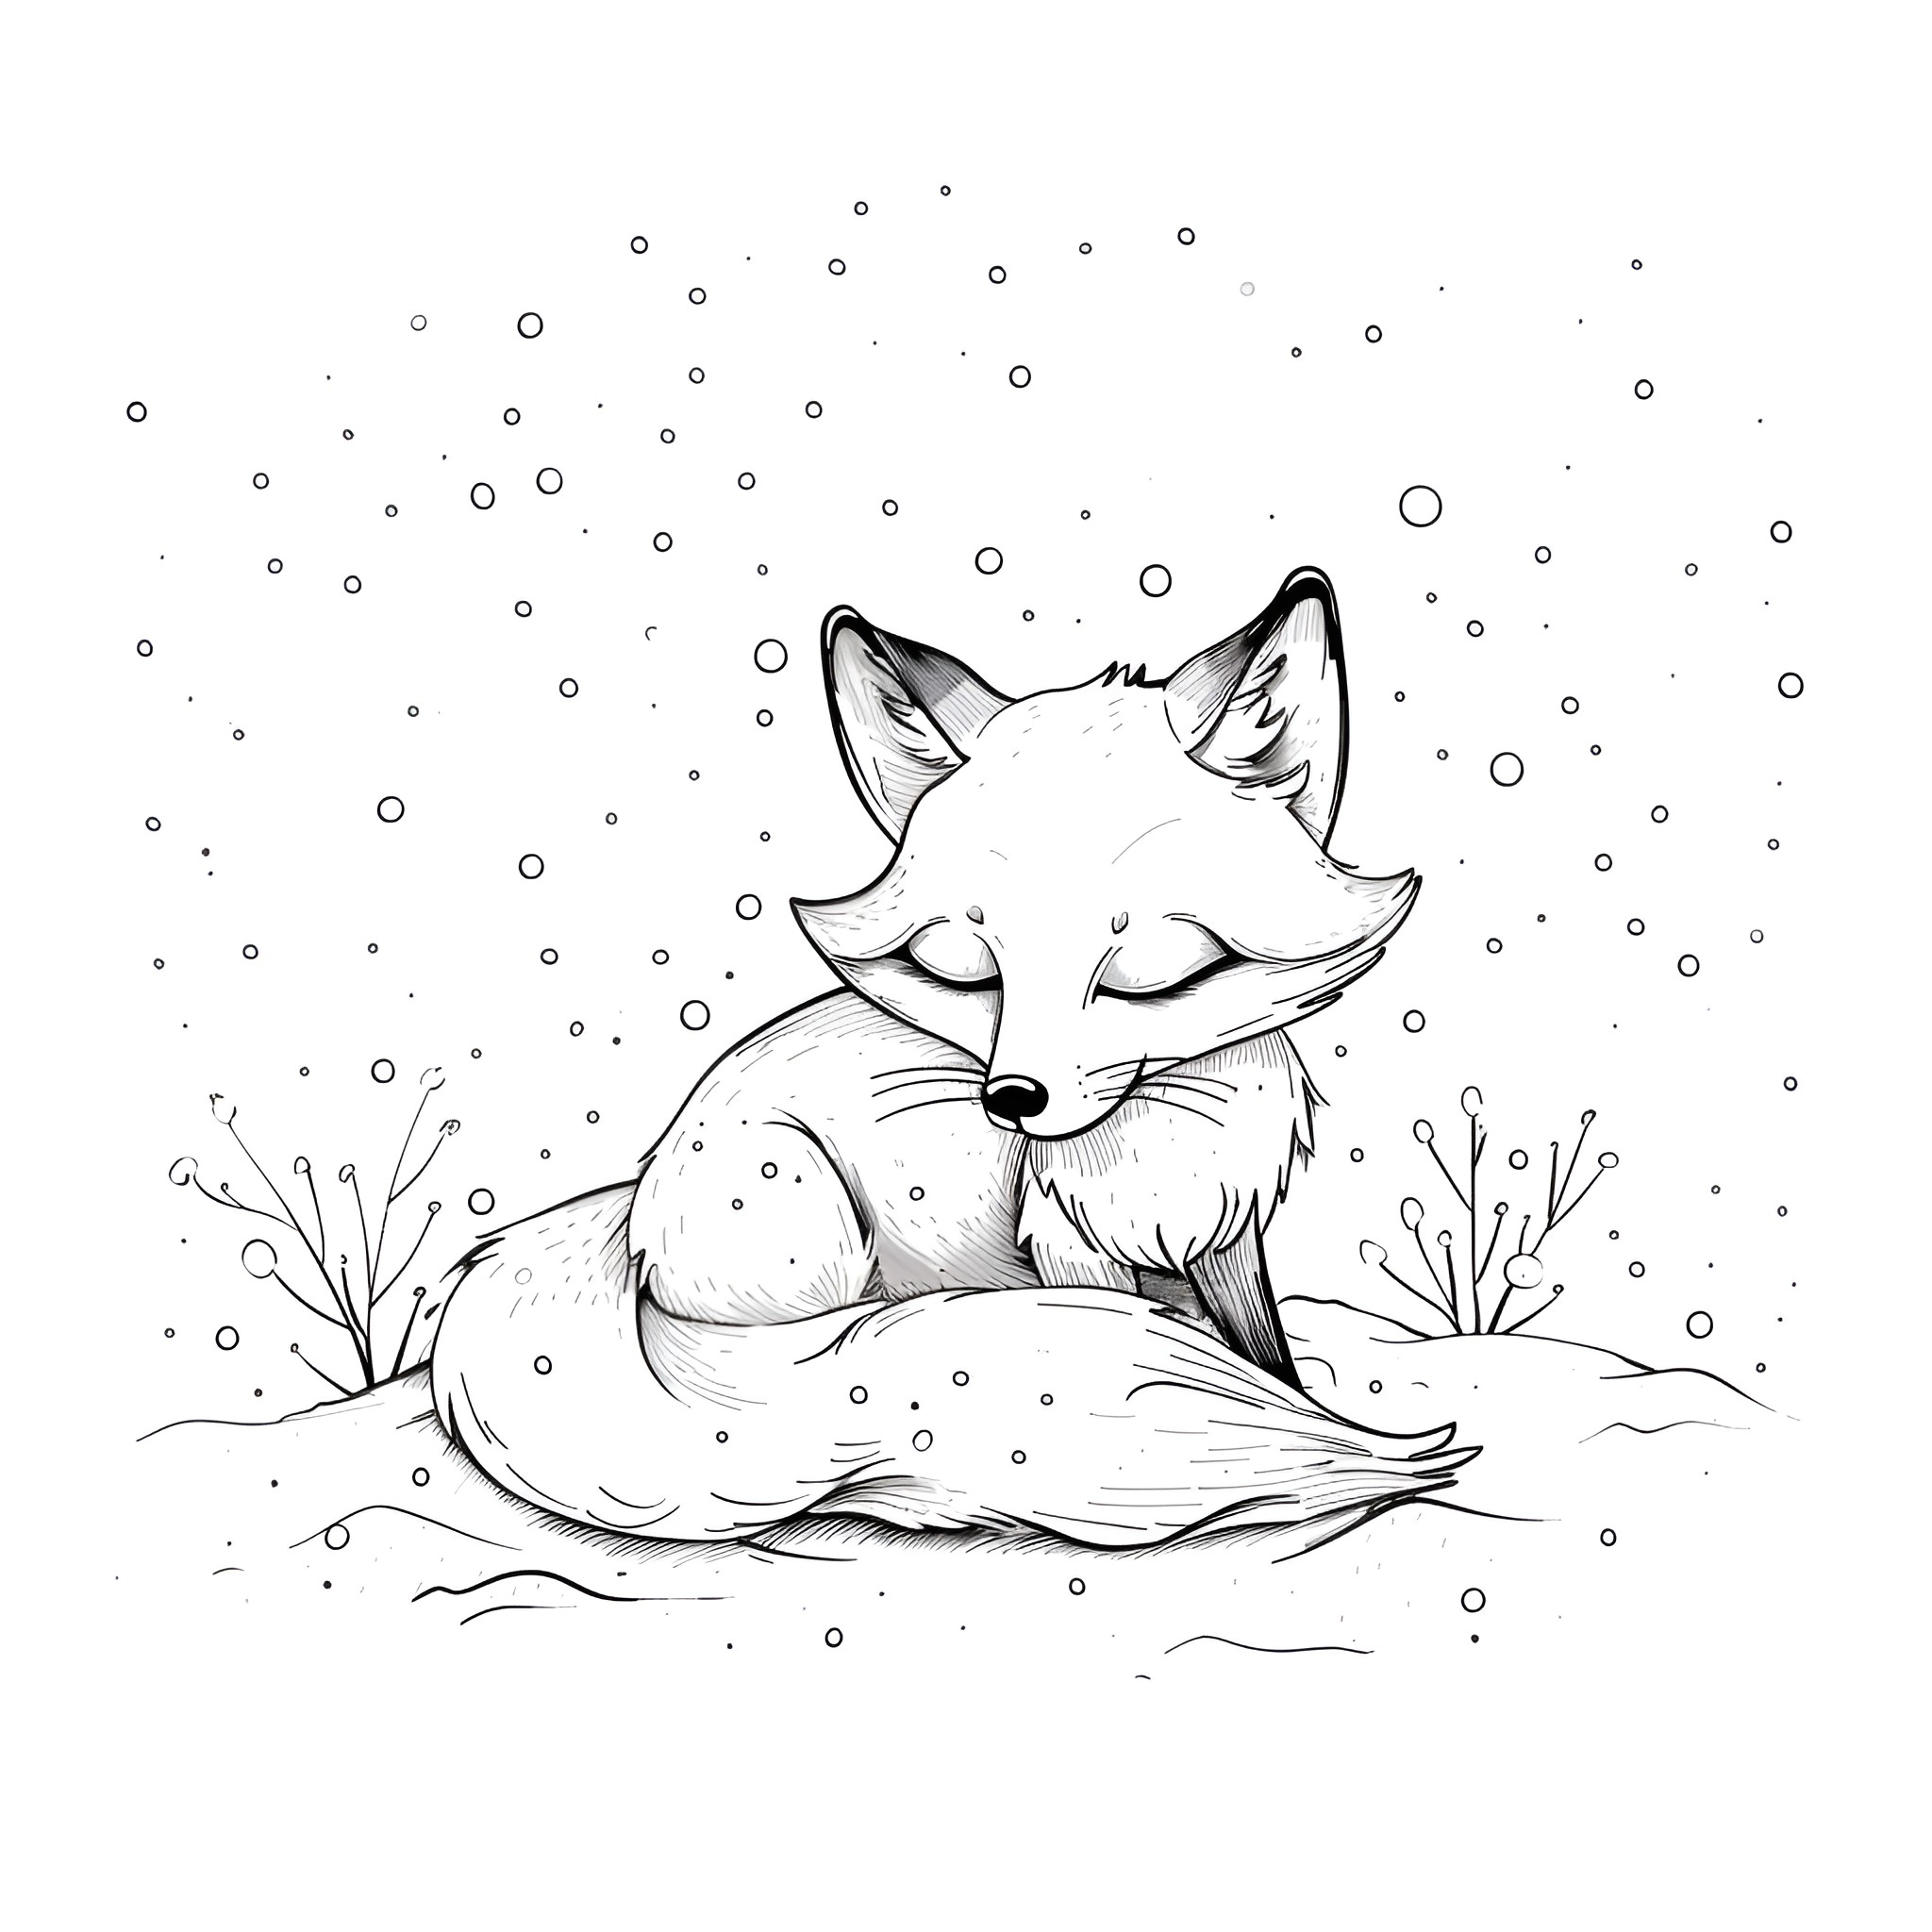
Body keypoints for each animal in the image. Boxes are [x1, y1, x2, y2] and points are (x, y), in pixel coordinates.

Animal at [430, 566, 1469, 1551]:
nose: (1013, 1097)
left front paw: (1289, 1387)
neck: (1161, 1136)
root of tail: (631, 1220)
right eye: (961, 968)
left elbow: (1265, 1352)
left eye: (1146, 969)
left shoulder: (1223, 1230)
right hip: (806, 1219)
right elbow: (1149, 1326)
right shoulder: (1067, 1245)